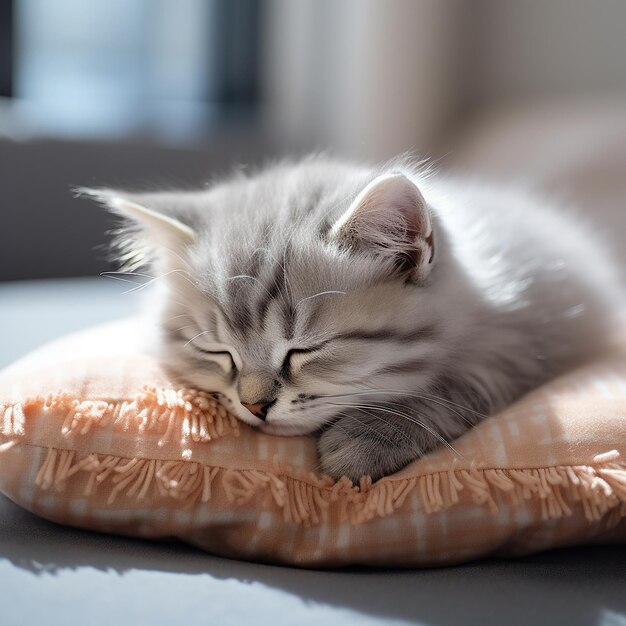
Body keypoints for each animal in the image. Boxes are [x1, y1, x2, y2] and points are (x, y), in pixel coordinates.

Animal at [81, 156, 620, 478]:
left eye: (304, 350)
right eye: (218, 352)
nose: (255, 407)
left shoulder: (524, 344)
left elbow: (446, 391)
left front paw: (368, 441)